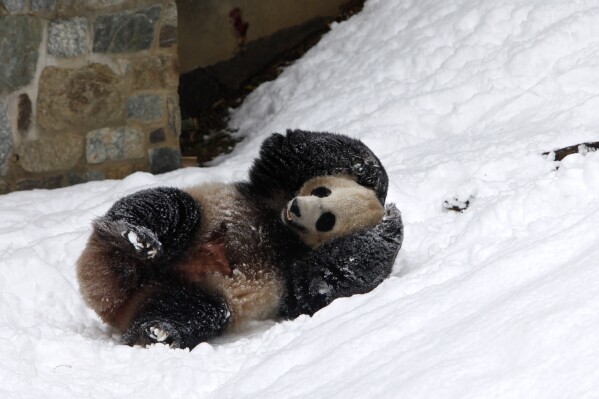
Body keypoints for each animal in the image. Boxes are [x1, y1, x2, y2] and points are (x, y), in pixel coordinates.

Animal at [75, 131, 404, 350]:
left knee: (196, 310)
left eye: (327, 220)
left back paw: (157, 330)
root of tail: (112, 299)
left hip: (181, 293)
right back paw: (134, 238)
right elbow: (284, 152)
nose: (297, 207)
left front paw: (388, 226)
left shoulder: (295, 272)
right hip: (189, 220)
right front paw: (370, 177)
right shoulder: (269, 192)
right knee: (170, 208)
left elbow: (319, 283)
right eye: (321, 191)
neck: (282, 230)